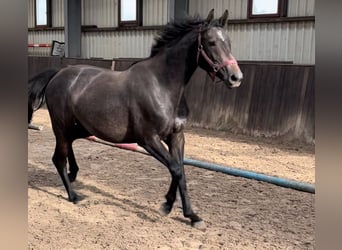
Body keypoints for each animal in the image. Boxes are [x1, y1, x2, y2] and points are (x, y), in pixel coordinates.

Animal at [28, 9, 243, 229]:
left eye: (228, 42)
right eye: (211, 42)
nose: (236, 77)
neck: (161, 85)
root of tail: (58, 74)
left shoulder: (176, 137)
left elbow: (180, 170)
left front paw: (181, 210)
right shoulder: (148, 140)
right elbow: (175, 168)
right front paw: (179, 210)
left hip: (81, 128)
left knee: (68, 147)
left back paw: (74, 174)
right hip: (61, 126)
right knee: (58, 158)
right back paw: (74, 195)